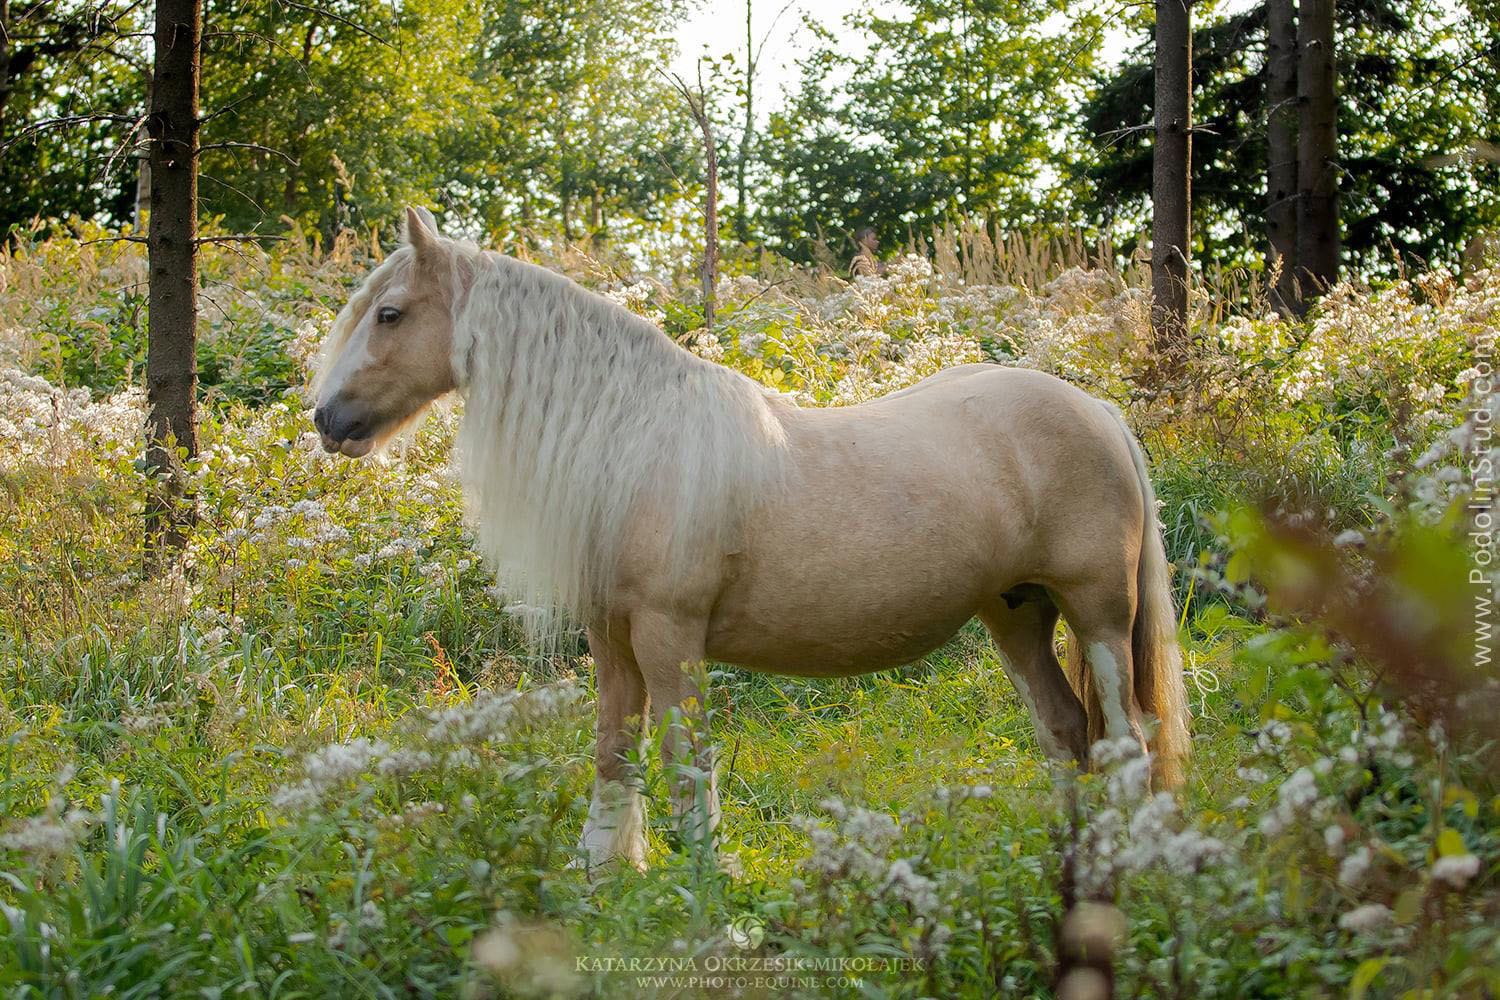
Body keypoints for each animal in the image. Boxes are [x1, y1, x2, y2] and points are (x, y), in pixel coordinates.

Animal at [319, 209, 1194, 869]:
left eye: (390, 313)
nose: (328, 420)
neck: (634, 441)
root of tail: (1097, 411)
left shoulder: (668, 636)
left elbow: (685, 765)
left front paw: (703, 888)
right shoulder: (613, 639)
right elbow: (612, 751)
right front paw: (604, 872)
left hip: (1099, 616)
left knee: (1126, 736)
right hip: (1016, 616)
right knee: (1065, 731)